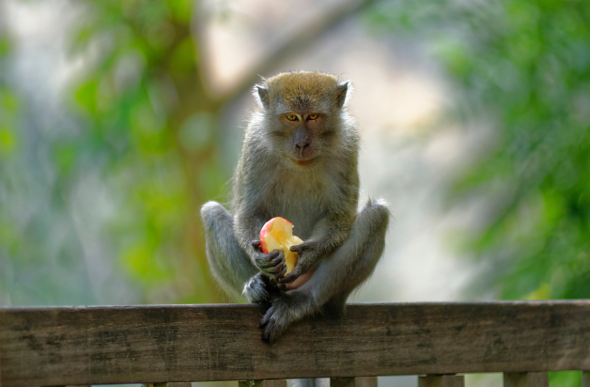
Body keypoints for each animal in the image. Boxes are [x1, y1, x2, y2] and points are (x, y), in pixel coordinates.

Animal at [201, 71, 390, 344]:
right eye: (291, 117)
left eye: (313, 117)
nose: (301, 144)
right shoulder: (254, 144)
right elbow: (248, 211)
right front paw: (260, 259)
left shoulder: (348, 144)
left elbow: (341, 214)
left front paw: (311, 252)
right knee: (211, 214)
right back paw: (257, 287)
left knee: (377, 215)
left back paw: (301, 301)